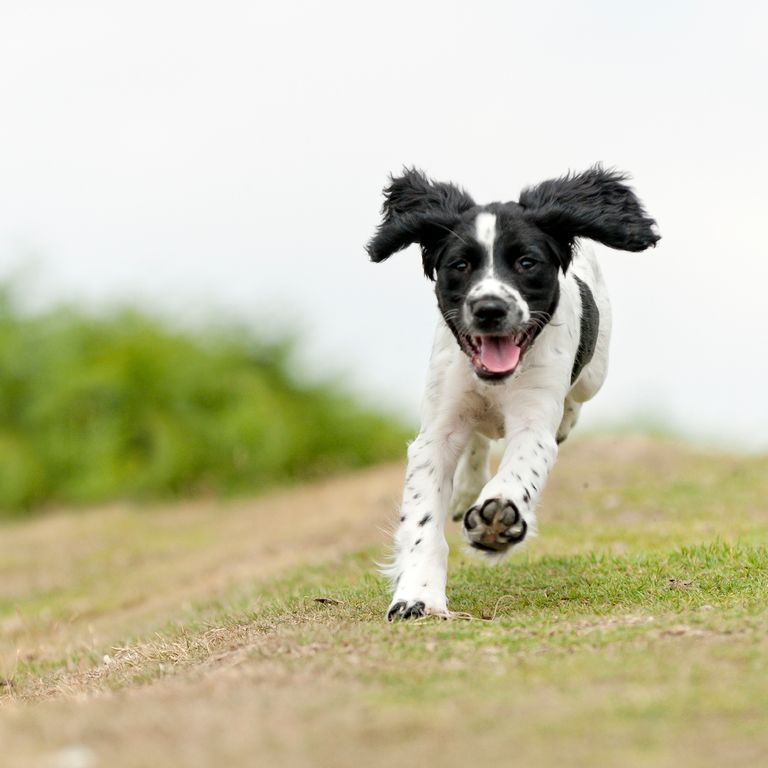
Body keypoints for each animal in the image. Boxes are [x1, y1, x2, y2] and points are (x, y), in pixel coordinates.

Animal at [366, 165, 660, 620]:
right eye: (459, 264)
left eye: (527, 262)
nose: (490, 309)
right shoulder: (437, 431)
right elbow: (422, 521)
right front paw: (417, 596)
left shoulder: (533, 423)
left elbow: (521, 468)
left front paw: (499, 519)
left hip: (594, 375)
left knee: (573, 402)